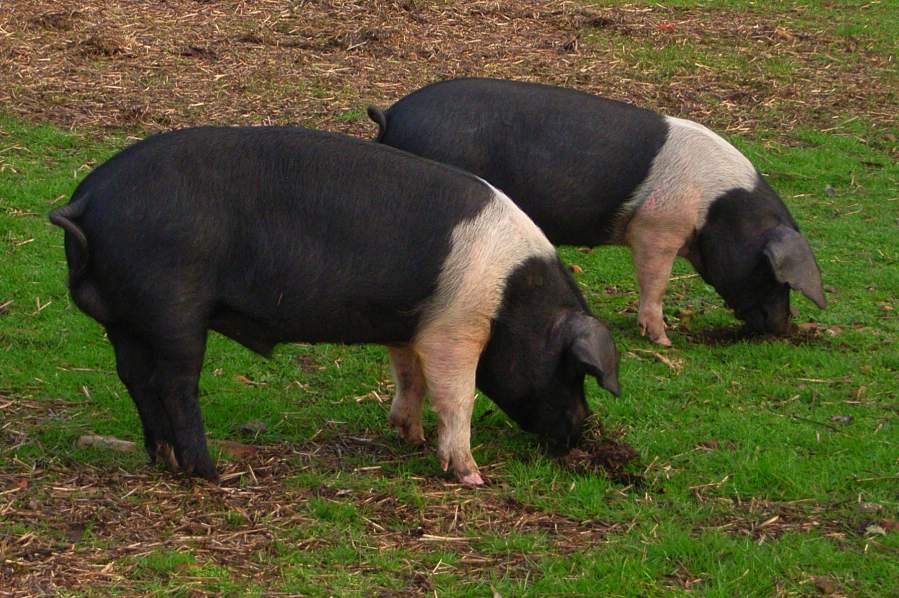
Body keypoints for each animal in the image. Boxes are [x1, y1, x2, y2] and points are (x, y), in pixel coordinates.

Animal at [49, 126, 620, 486]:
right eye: (573, 370)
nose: (582, 428)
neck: (515, 298)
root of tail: (86, 202)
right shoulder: (454, 329)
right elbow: (456, 396)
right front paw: (471, 476)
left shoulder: (410, 326)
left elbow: (409, 377)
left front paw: (409, 438)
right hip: (174, 310)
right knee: (175, 385)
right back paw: (211, 474)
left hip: (125, 321)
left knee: (136, 380)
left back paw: (164, 460)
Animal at [367, 78, 826, 346]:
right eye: (771, 272)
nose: (783, 326)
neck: (715, 209)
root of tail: (392, 114)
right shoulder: (657, 227)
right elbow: (655, 282)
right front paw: (662, 342)